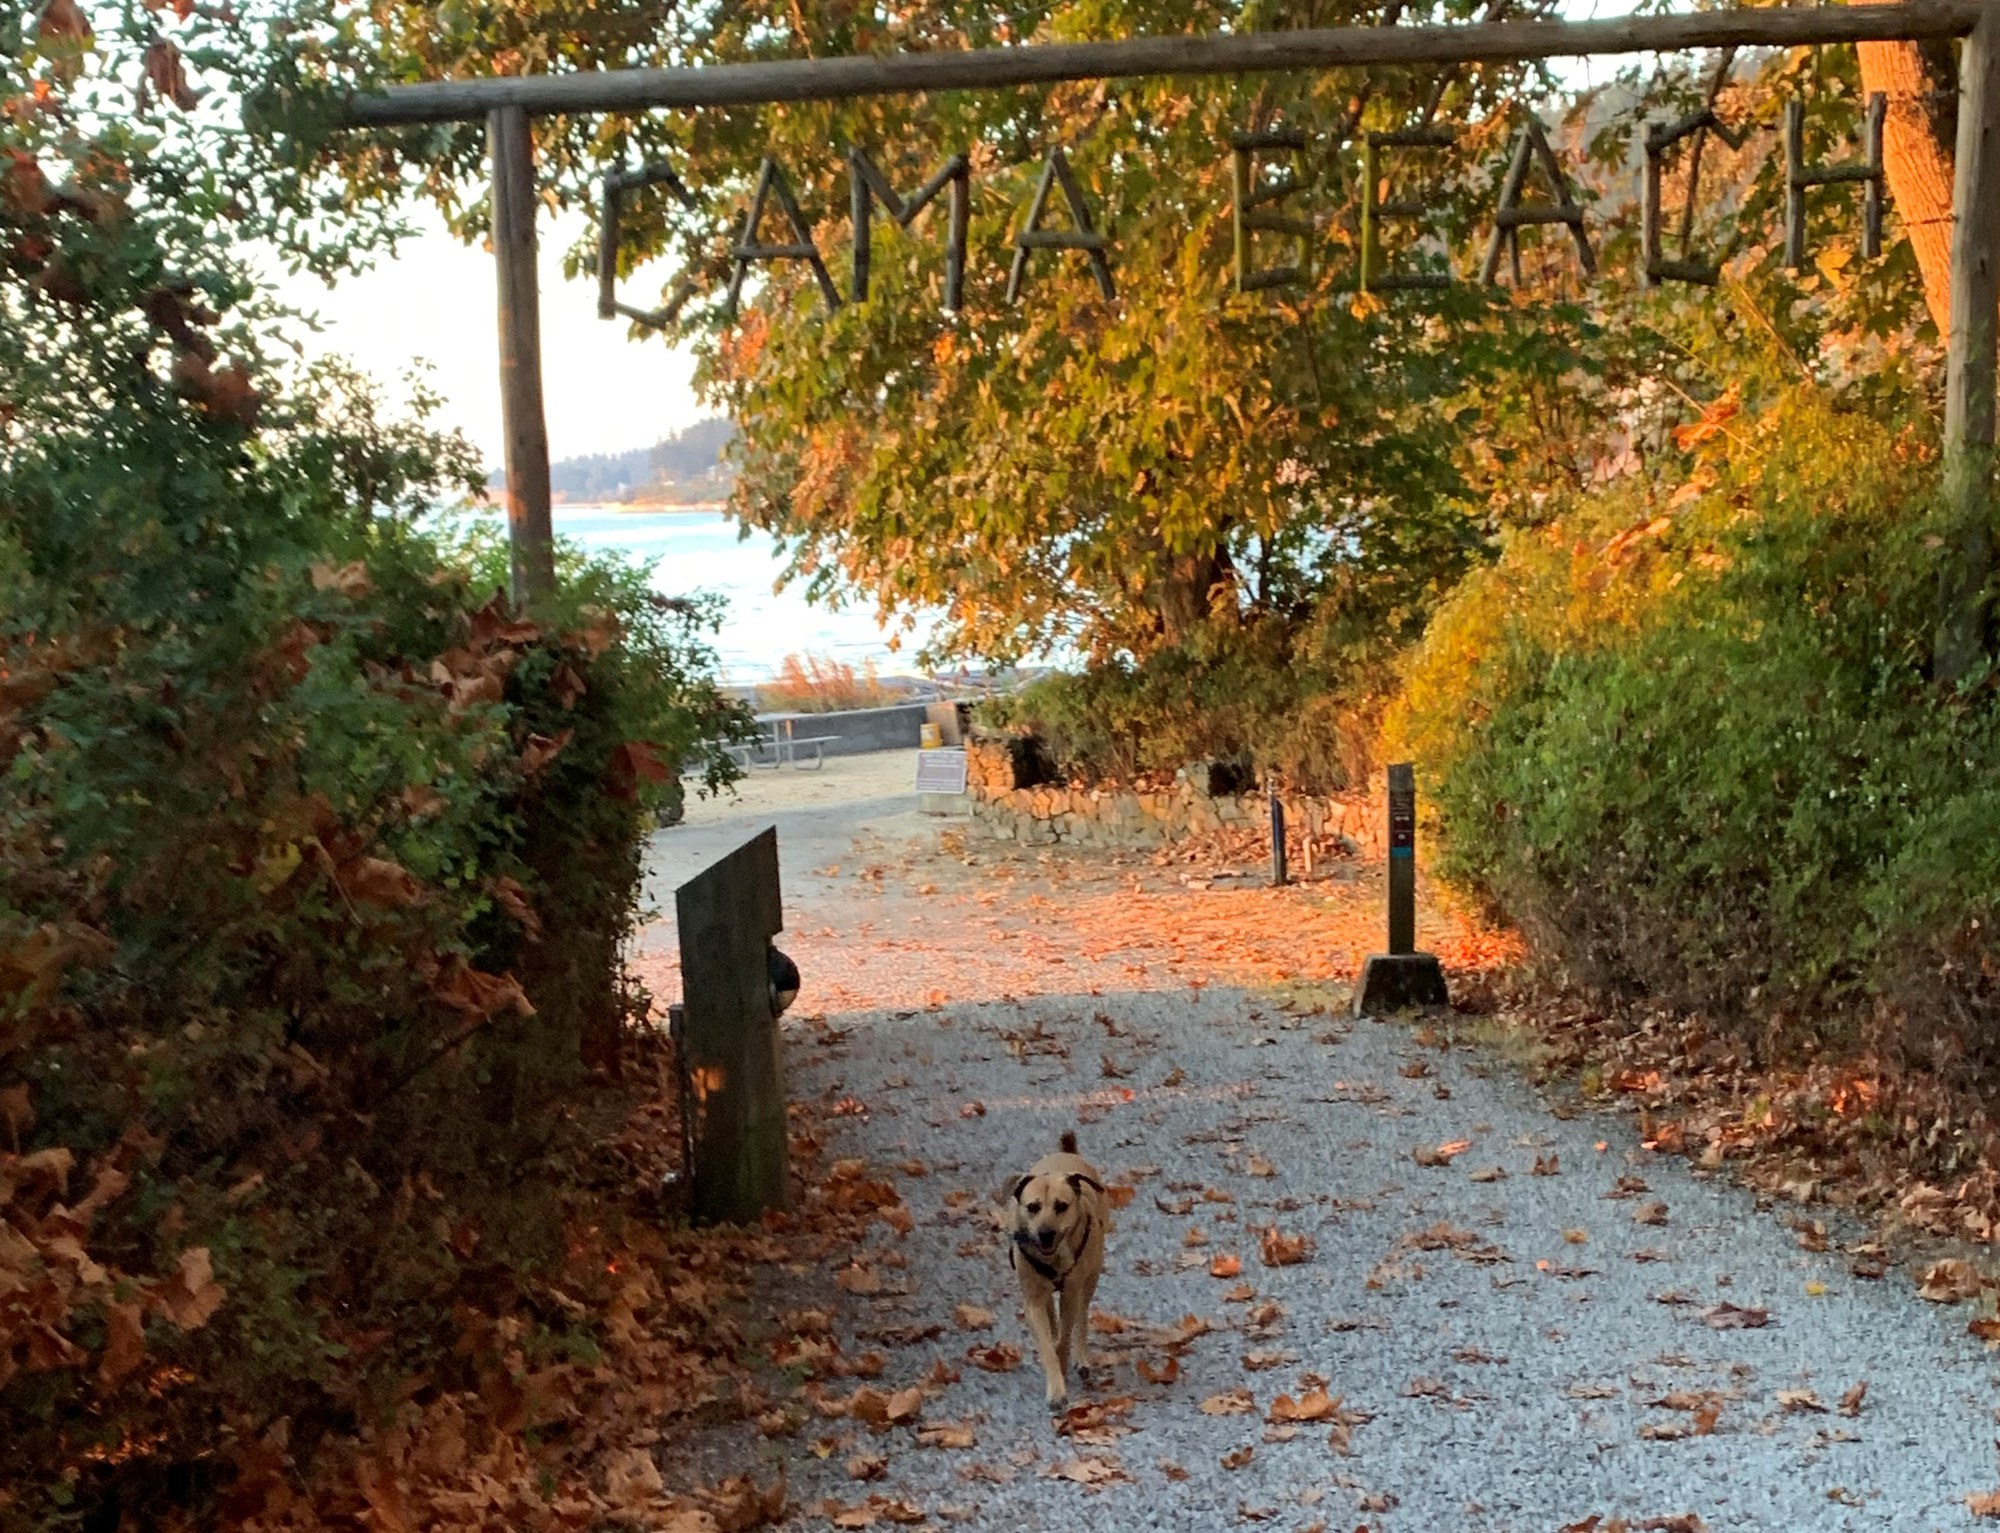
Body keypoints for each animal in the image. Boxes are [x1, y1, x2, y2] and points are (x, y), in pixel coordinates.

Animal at [1000, 1128, 1112, 1416]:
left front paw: (1064, 1362)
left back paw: (1081, 1357)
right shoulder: (1032, 1299)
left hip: (1092, 1274)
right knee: (1052, 1317)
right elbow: (1047, 1344)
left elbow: (1065, 1336)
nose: (1045, 1233)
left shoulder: (1071, 1291)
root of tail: (1067, 1153)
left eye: (1061, 1206)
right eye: (1032, 1207)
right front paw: (1056, 1389)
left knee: (1081, 1316)